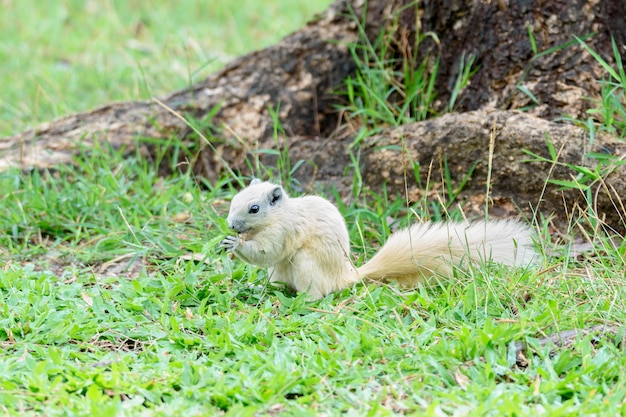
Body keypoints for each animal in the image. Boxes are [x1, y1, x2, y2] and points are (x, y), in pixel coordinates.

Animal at [217, 179, 532, 300]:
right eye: (233, 200)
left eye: (254, 208)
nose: (231, 225)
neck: (279, 214)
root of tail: (345, 277)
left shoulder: (286, 230)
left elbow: (266, 250)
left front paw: (236, 244)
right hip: (280, 271)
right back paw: (258, 288)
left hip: (305, 264)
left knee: (314, 292)